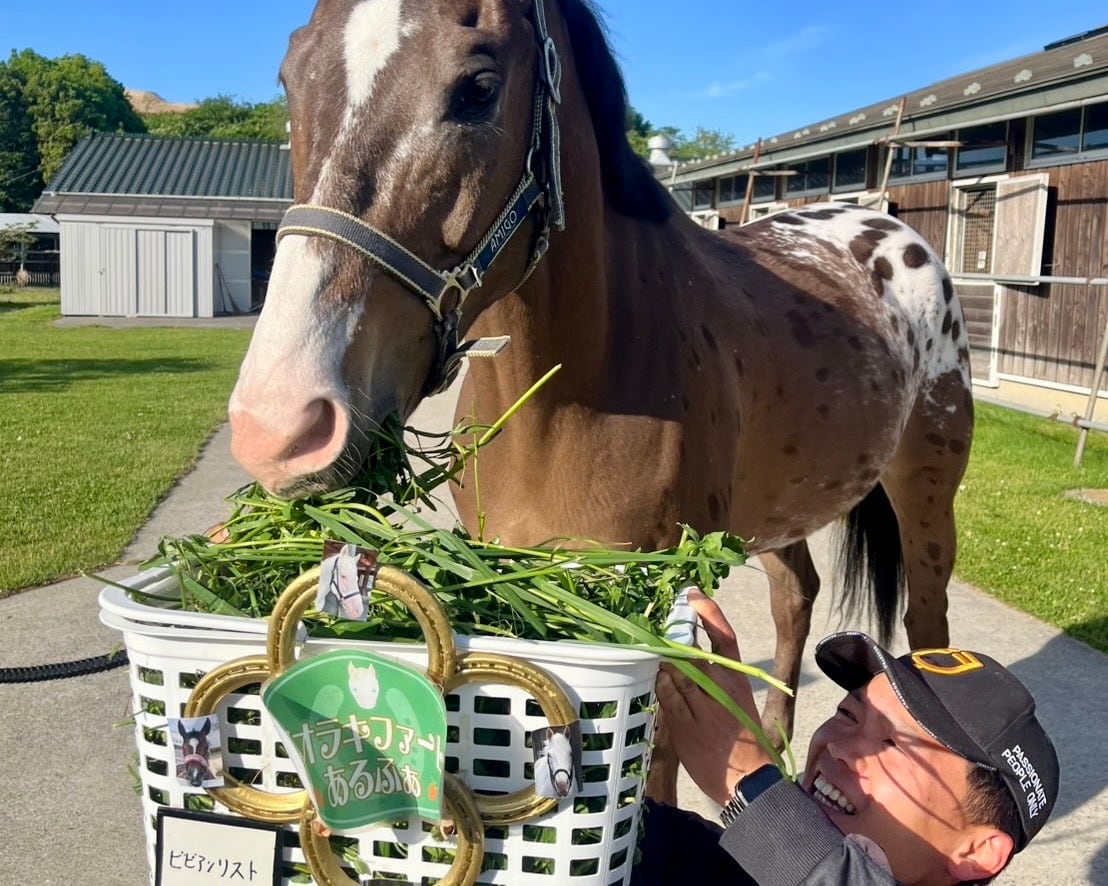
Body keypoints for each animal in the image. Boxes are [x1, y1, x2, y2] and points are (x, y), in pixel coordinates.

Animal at [227, 0, 974, 804]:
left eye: (479, 87)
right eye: (291, 76)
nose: (279, 423)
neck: (567, 404)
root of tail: (893, 233)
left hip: (925, 499)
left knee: (928, 625)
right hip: (777, 509)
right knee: (796, 594)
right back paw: (776, 741)